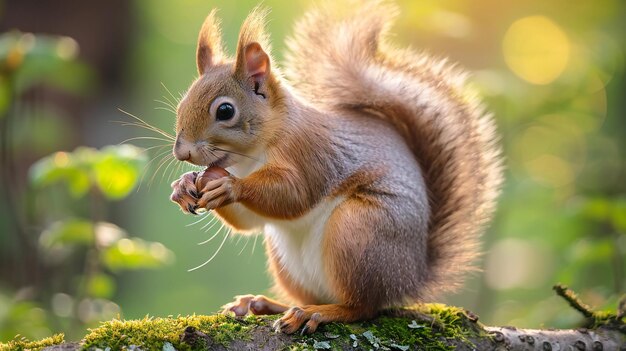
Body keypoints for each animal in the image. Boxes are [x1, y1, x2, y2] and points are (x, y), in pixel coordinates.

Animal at [167, 0, 502, 336]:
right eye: (181, 105)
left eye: (225, 111)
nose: (182, 153)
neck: (252, 156)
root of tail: (409, 278)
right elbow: (249, 222)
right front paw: (185, 185)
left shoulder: (310, 153)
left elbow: (295, 195)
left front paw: (229, 186)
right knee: (311, 296)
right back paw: (266, 304)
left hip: (357, 233)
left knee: (362, 307)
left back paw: (317, 313)